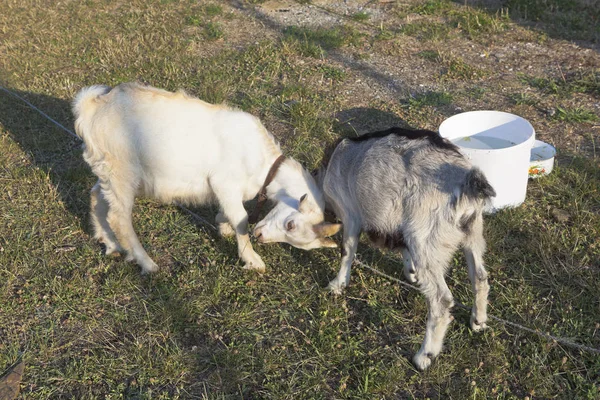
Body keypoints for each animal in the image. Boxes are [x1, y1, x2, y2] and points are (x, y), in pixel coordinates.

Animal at [72, 82, 340, 274]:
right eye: (291, 225)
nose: (261, 237)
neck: (263, 163)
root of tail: (92, 107)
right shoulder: (225, 182)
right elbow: (242, 218)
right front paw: (252, 259)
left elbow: (228, 214)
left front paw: (223, 227)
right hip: (122, 170)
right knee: (119, 217)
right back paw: (147, 263)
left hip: (106, 169)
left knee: (97, 197)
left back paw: (110, 244)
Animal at [318, 127, 496, 368]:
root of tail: (466, 180)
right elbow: (404, 250)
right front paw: (411, 273)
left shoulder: (351, 215)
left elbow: (347, 250)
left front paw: (337, 284)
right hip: (472, 233)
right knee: (480, 277)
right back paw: (478, 321)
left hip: (425, 239)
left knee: (441, 300)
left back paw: (424, 356)